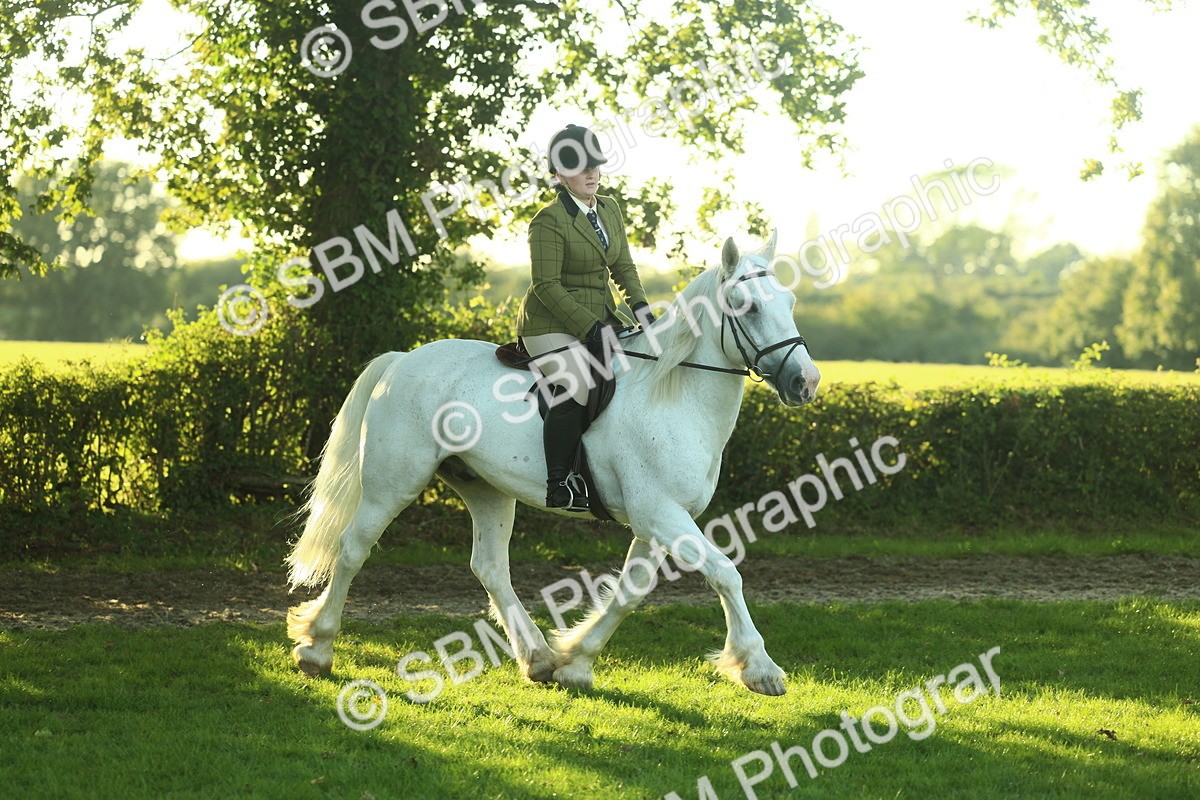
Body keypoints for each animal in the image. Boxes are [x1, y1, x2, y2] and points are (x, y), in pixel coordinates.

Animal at [285, 230, 821, 696]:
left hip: (485, 488)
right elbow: (726, 572)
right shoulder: (660, 514)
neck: (673, 394)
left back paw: (538, 658)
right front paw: (761, 669)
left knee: (490, 567)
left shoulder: (660, 519)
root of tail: (401, 360)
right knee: (352, 549)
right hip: (392, 483)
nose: (806, 382)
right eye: (747, 307)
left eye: (791, 304)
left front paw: (576, 663)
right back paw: (317, 650)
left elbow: (631, 592)